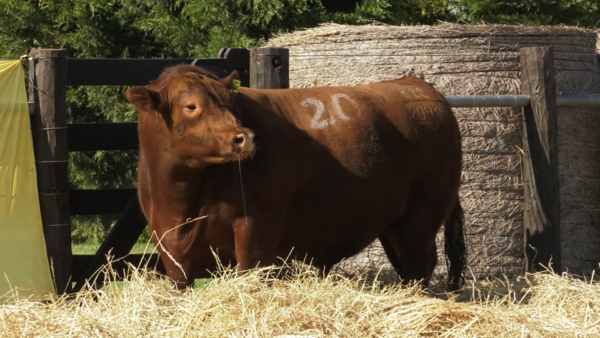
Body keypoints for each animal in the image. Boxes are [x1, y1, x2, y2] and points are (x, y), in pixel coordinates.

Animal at [124, 65, 466, 290]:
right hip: (393, 225)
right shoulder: (169, 249)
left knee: (419, 267)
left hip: (421, 218)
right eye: (191, 106)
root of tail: (418, 87)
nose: (244, 138)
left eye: (228, 101)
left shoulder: (255, 231)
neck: (181, 200)